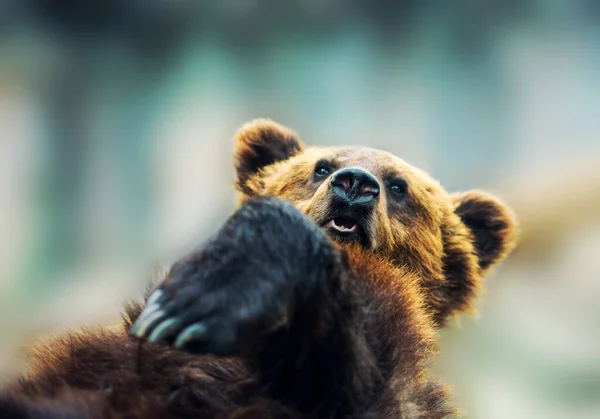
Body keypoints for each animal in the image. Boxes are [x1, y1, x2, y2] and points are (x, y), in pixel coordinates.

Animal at [0, 119, 516, 419]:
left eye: (399, 185)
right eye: (321, 165)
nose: (354, 184)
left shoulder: (379, 361)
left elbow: (349, 366)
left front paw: (194, 307)